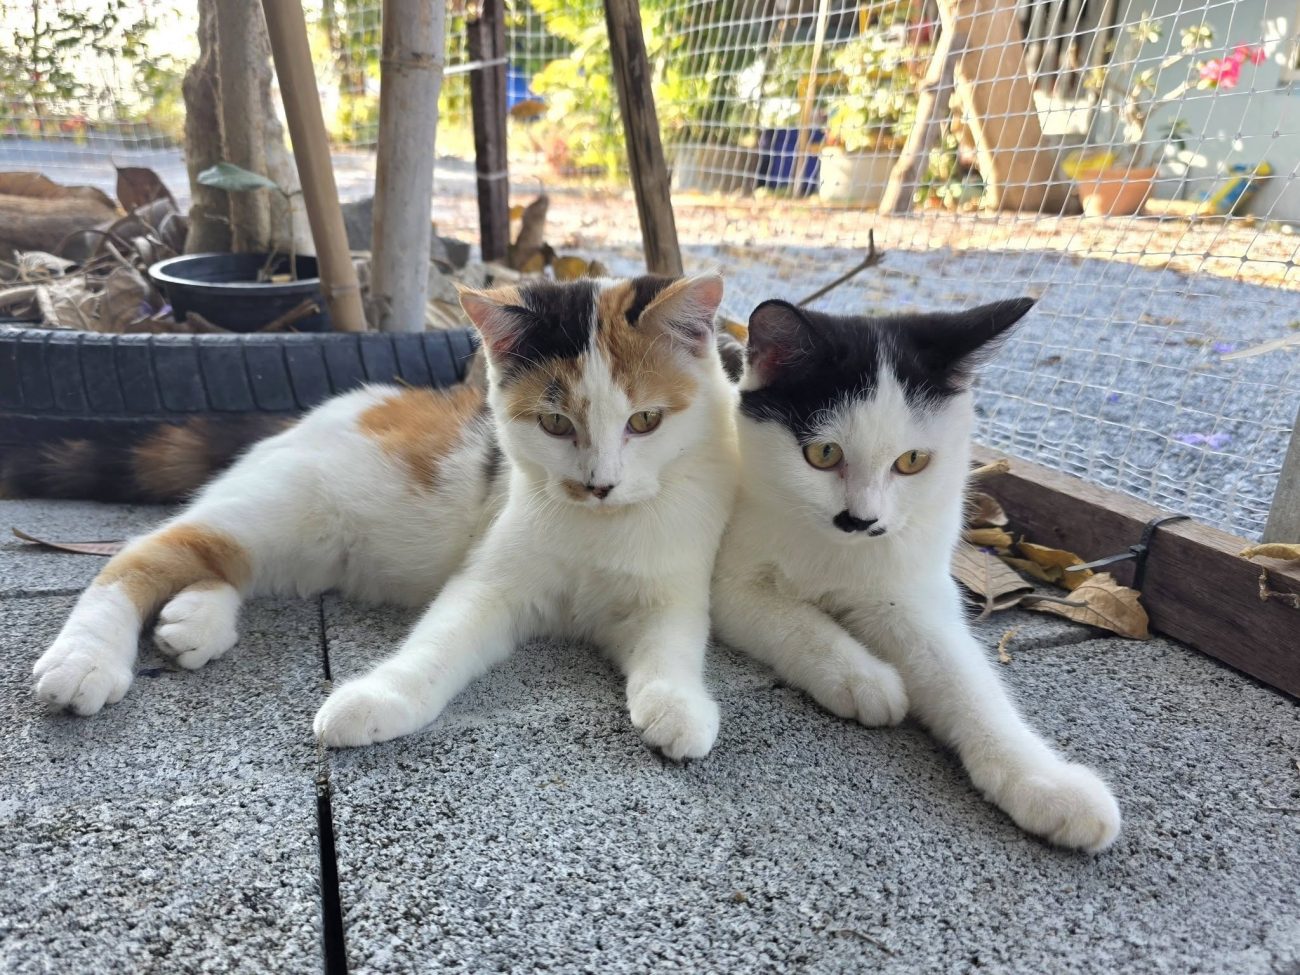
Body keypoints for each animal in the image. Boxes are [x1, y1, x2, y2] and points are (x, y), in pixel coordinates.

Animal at [33, 274, 738, 760]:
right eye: (555, 423)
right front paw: (376, 700)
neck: (601, 527)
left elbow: (674, 643)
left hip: (300, 551)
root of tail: (338, 405)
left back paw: (193, 622)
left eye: (646, 420)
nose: (598, 485)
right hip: (278, 506)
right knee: (143, 550)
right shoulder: (491, 581)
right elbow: (437, 645)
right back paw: (83, 662)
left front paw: (678, 708)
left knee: (222, 565)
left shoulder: (674, 587)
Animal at [711, 297, 1122, 852]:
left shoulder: (910, 588)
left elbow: (966, 680)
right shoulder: (726, 581)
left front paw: (1046, 782)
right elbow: (791, 617)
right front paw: (864, 678)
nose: (861, 520)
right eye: (823, 453)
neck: (832, 547)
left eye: (911, 461)